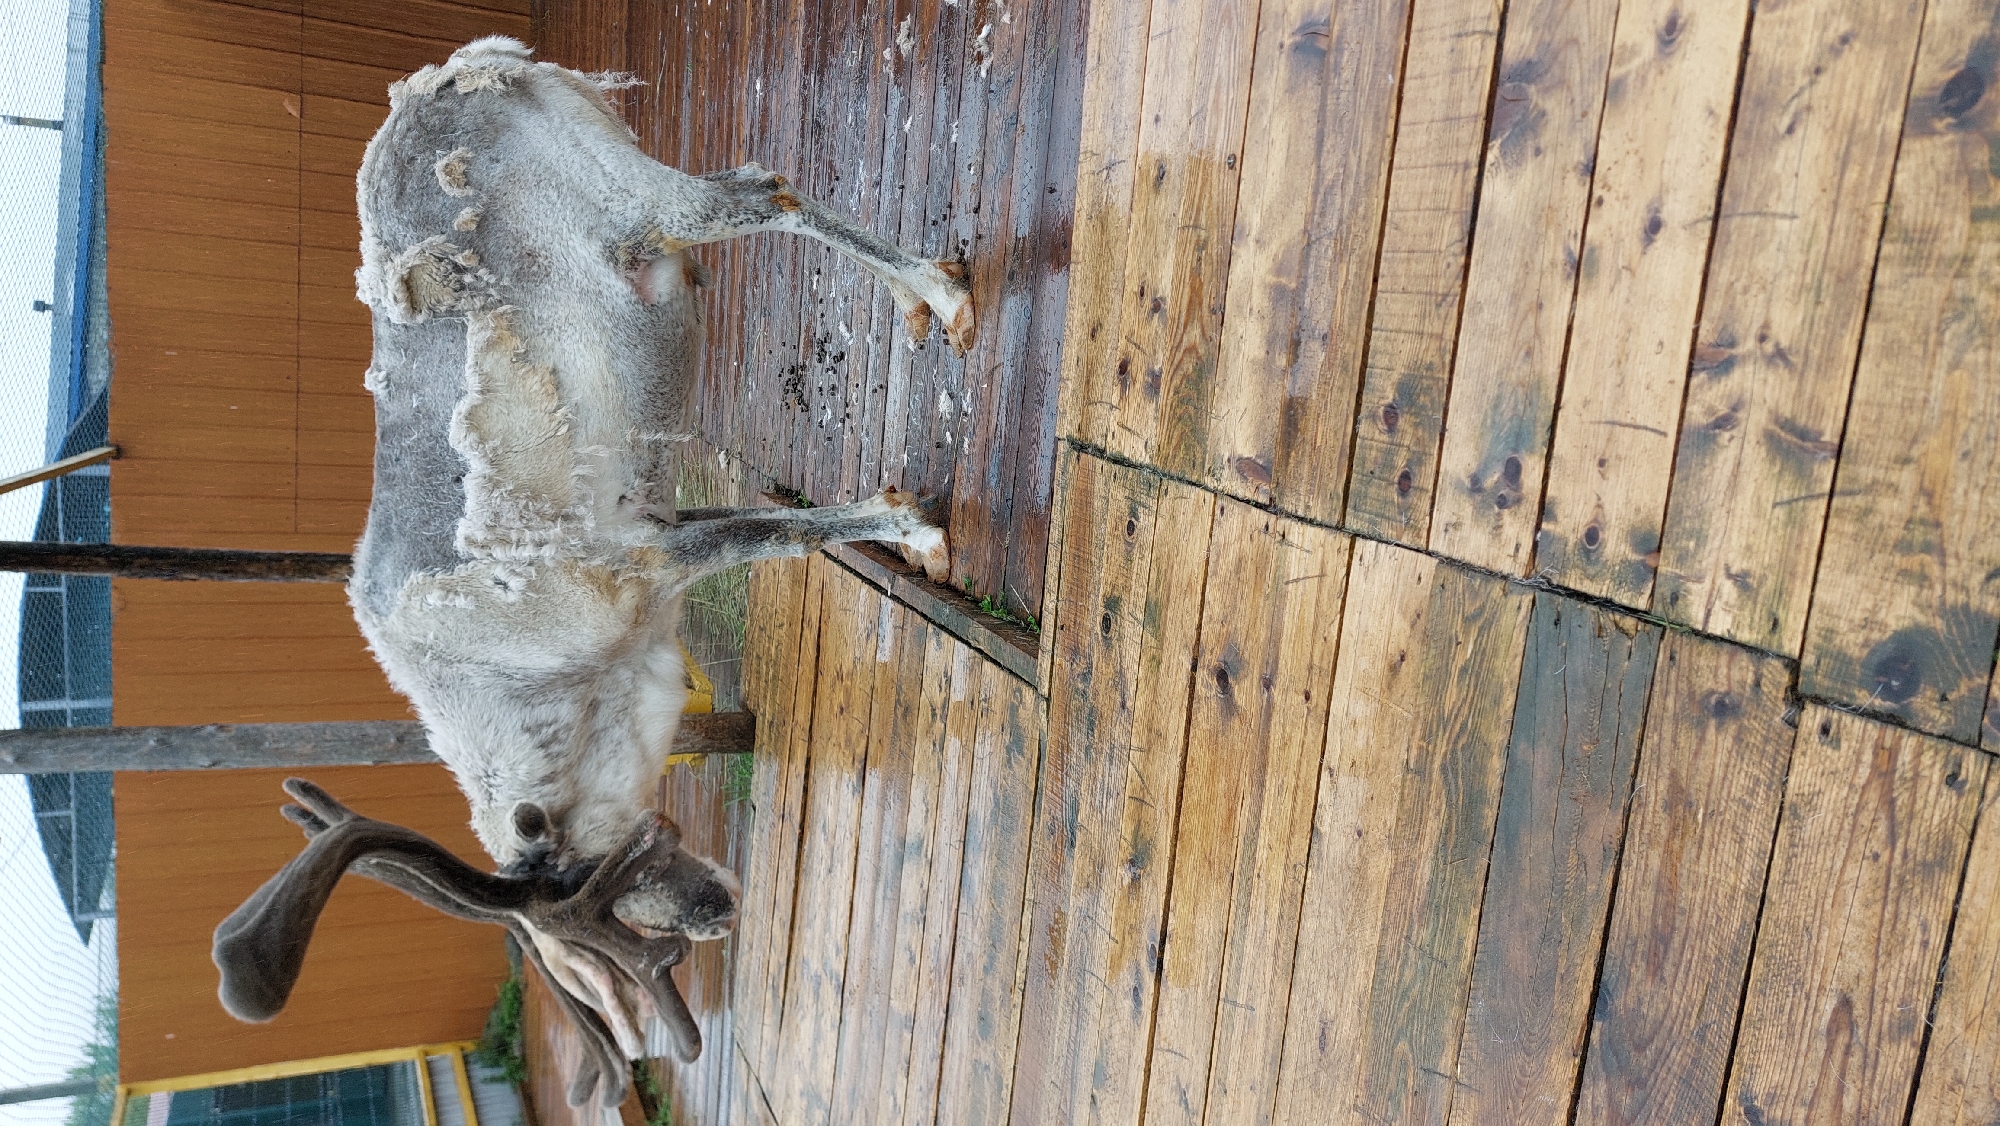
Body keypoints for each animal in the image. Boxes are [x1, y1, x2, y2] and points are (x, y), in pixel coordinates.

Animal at [211, 36, 974, 1108]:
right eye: (613, 901)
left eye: (586, 892)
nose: (717, 911)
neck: (520, 683)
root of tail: (470, 64)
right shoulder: (659, 523)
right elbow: (771, 523)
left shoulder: (638, 559)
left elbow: (778, 536)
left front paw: (919, 529)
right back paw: (924, 294)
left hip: (626, 199)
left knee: (755, 192)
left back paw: (950, 295)